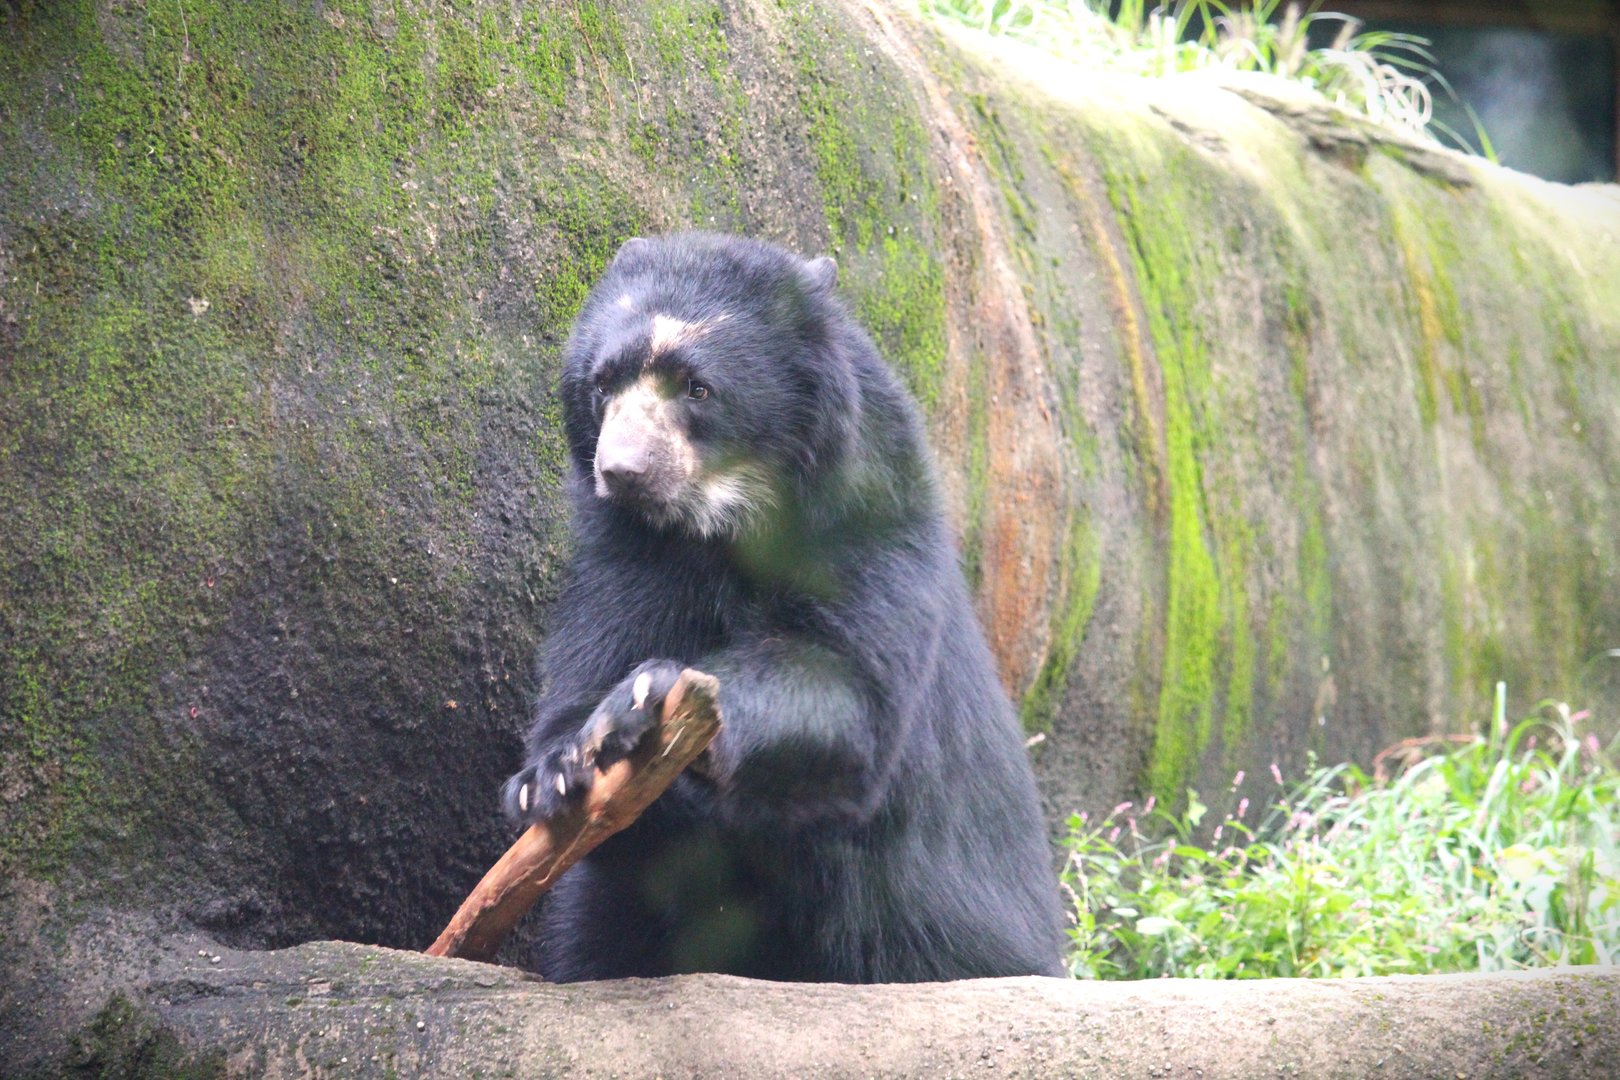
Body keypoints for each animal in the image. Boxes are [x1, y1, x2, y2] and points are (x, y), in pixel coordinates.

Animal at [503, 232, 1064, 982]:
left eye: (696, 386)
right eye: (603, 384)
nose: (622, 472)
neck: (725, 524)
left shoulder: (865, 518)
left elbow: (846, 687)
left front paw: (642, 696)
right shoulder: (628, 557)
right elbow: (588, 680)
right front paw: (560, 767)